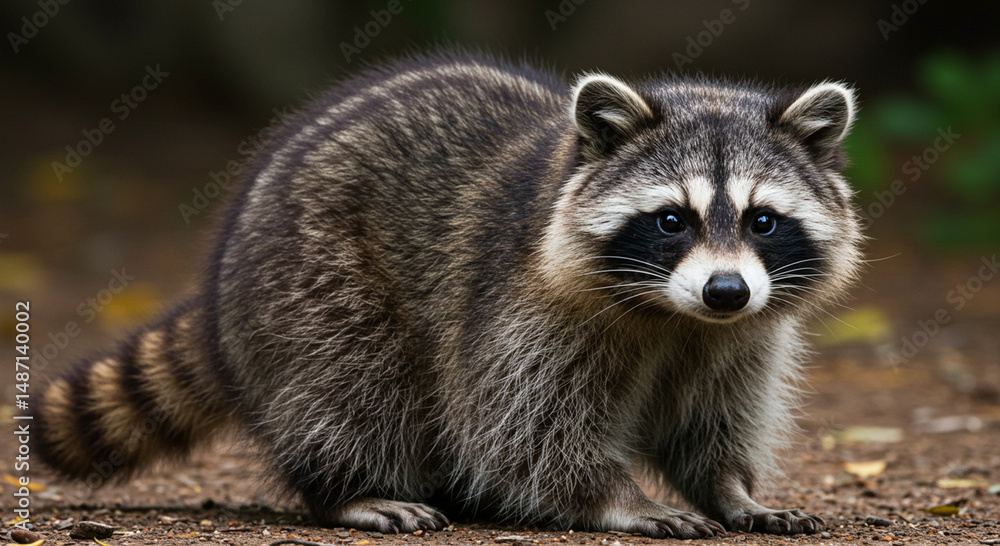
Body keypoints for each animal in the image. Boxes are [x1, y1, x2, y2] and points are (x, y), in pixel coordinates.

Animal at [32, 51, 862, 538]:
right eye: (670, 220)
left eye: (762, 220)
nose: (725, 290)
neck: (673, 315)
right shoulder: (523, 310)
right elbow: (523, 428)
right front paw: (615, 497)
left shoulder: (741, 336)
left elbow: (714, 419)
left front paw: (730, 490)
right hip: (310, 271)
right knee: (349, 380)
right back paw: (348, 488)